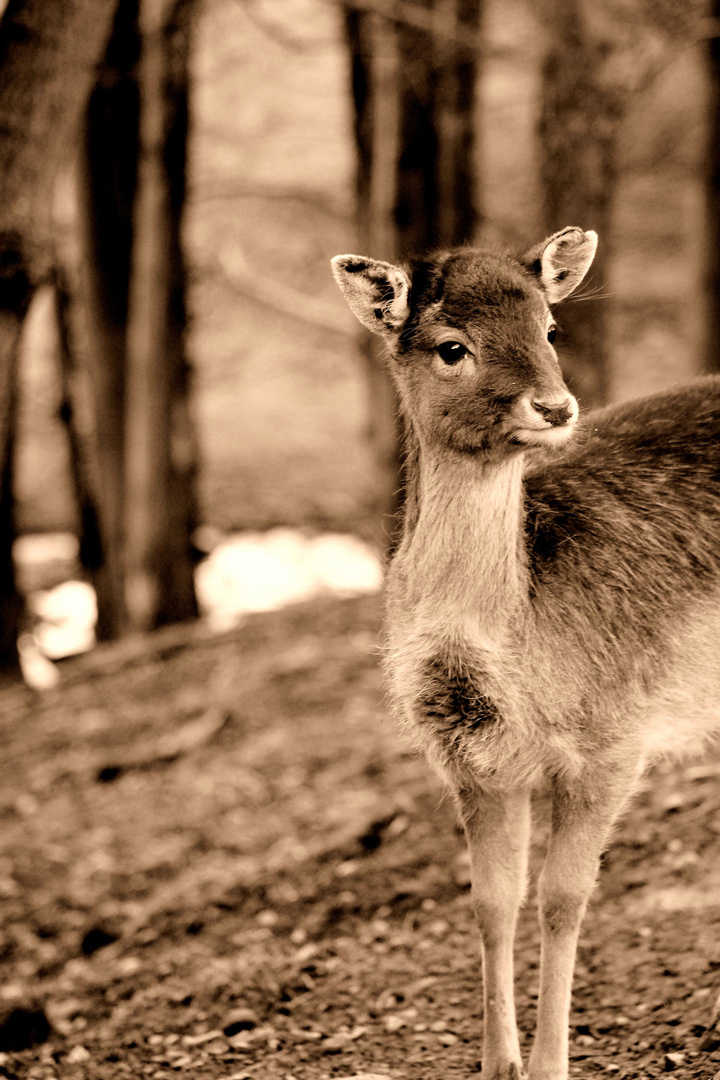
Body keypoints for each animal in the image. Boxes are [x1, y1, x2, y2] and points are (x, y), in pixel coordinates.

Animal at [334, 223, 720, 1075]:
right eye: (451, 346)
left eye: (549, 327)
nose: (555, 405)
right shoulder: (467, 757)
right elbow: (492, 899)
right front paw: (496, 1062)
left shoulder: (614, 737)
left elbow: (563, 895)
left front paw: (549, 1063)